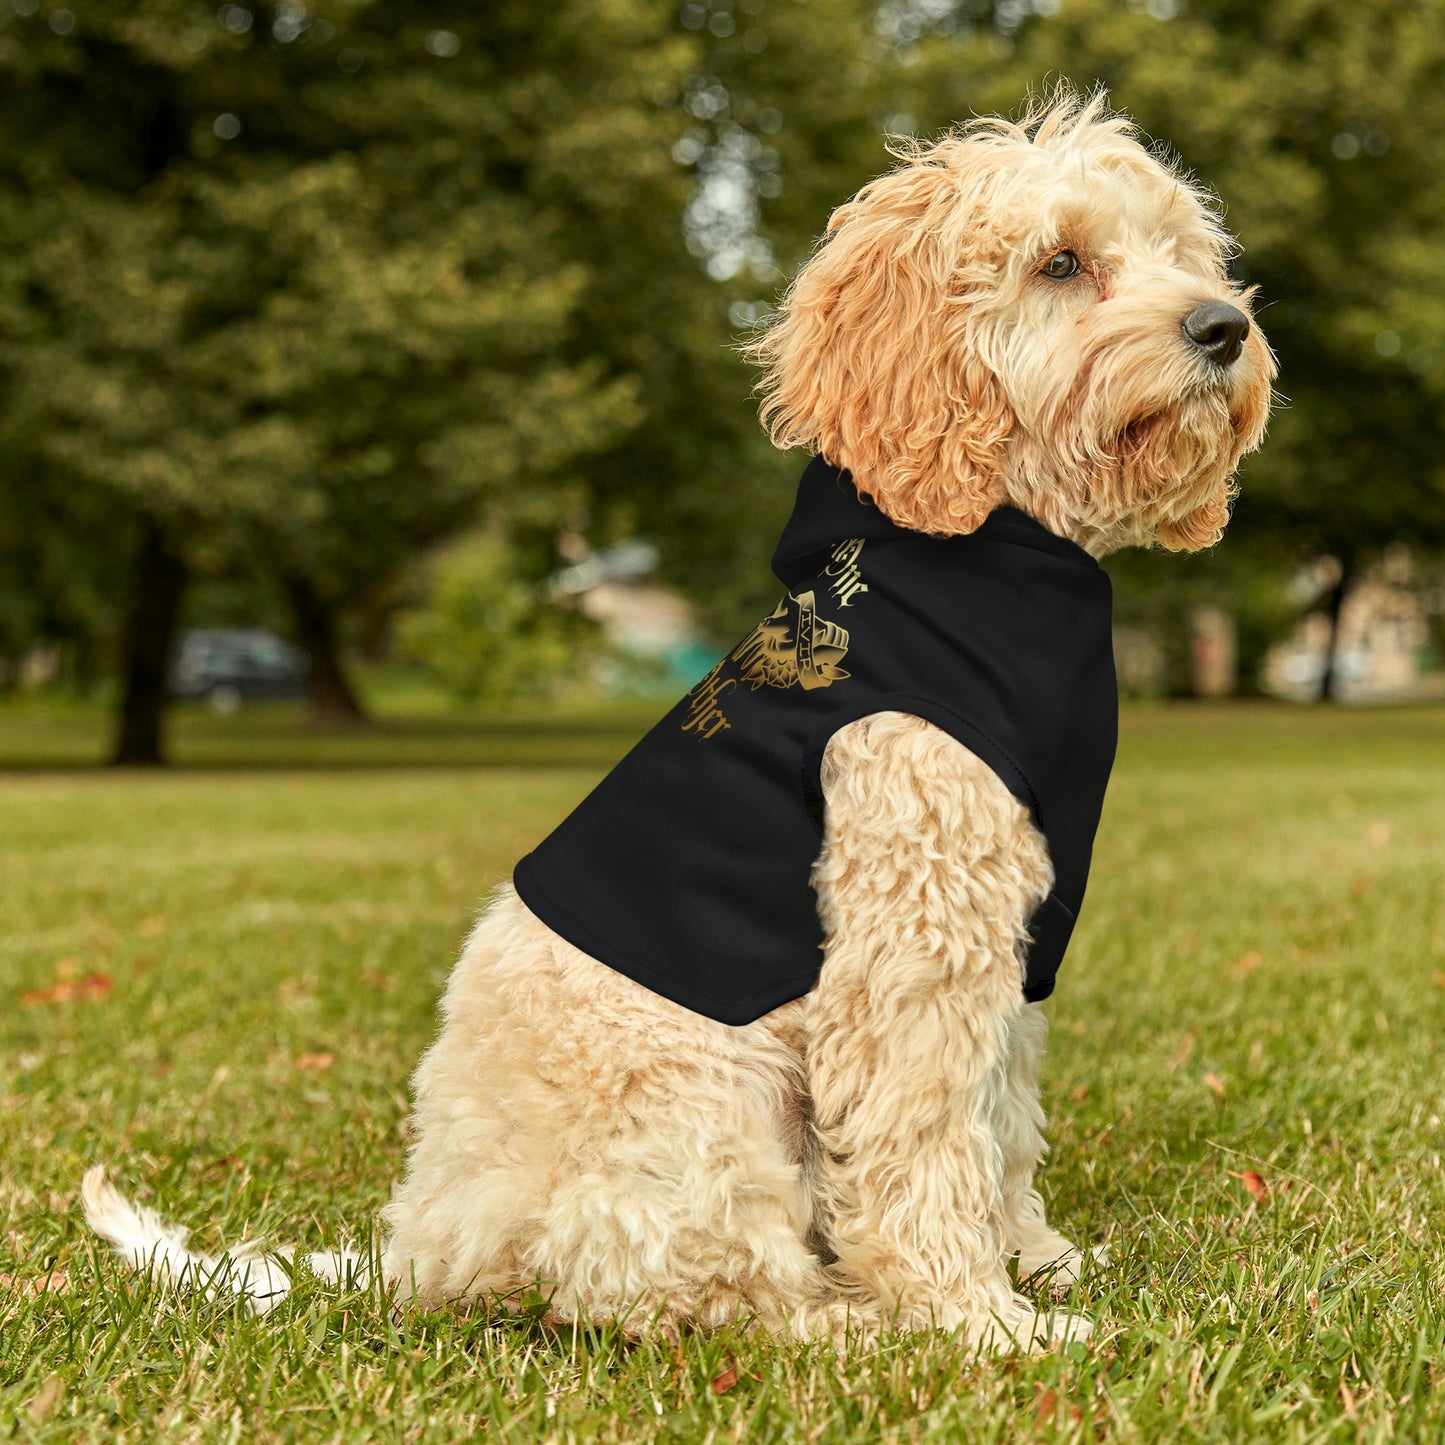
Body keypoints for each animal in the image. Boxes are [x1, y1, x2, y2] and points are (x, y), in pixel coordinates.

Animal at [84, 93, 1271, 1352]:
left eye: (1180, 252)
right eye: (1059, 262)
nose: (1223, 327)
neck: (984, 552)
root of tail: (423, 1247)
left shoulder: (1009, 941)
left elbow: (999, 1118)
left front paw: (1034, 1259)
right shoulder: (912, 937)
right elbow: (924, 1138)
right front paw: (976, 1319)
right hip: (705, 1100)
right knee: (700, 1291)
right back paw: (852, 1323)